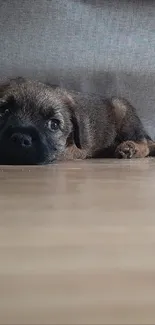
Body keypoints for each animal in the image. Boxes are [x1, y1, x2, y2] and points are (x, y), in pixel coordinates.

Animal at [0, 76, 154, 165]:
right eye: (4, 111)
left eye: (53, 124)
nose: (21, 138)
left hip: (122, 111)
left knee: (144, 144)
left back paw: (130, 148)